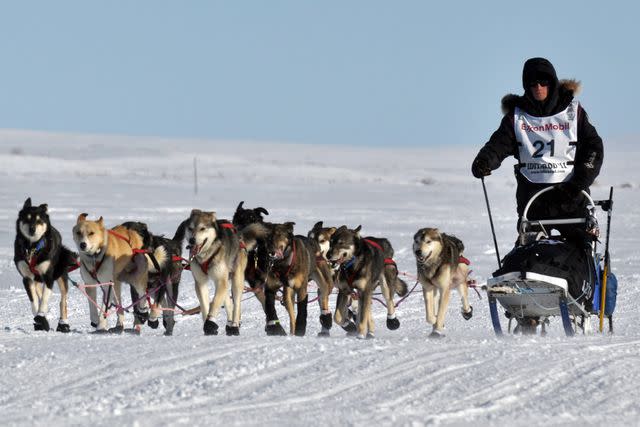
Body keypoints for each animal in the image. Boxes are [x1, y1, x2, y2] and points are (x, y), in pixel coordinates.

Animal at [14, 199, 78, 332]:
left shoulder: (48, 276)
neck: (32, 248)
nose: (32, 229)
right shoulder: (27, 278)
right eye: (27, 218)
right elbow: (34, 300)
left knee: (63, 301)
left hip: (60, 274)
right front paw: (40, 319)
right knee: (39, 293)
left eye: (39, 220)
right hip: (37, 281)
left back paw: (63, 324)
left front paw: (41, 315)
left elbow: (44, 300)